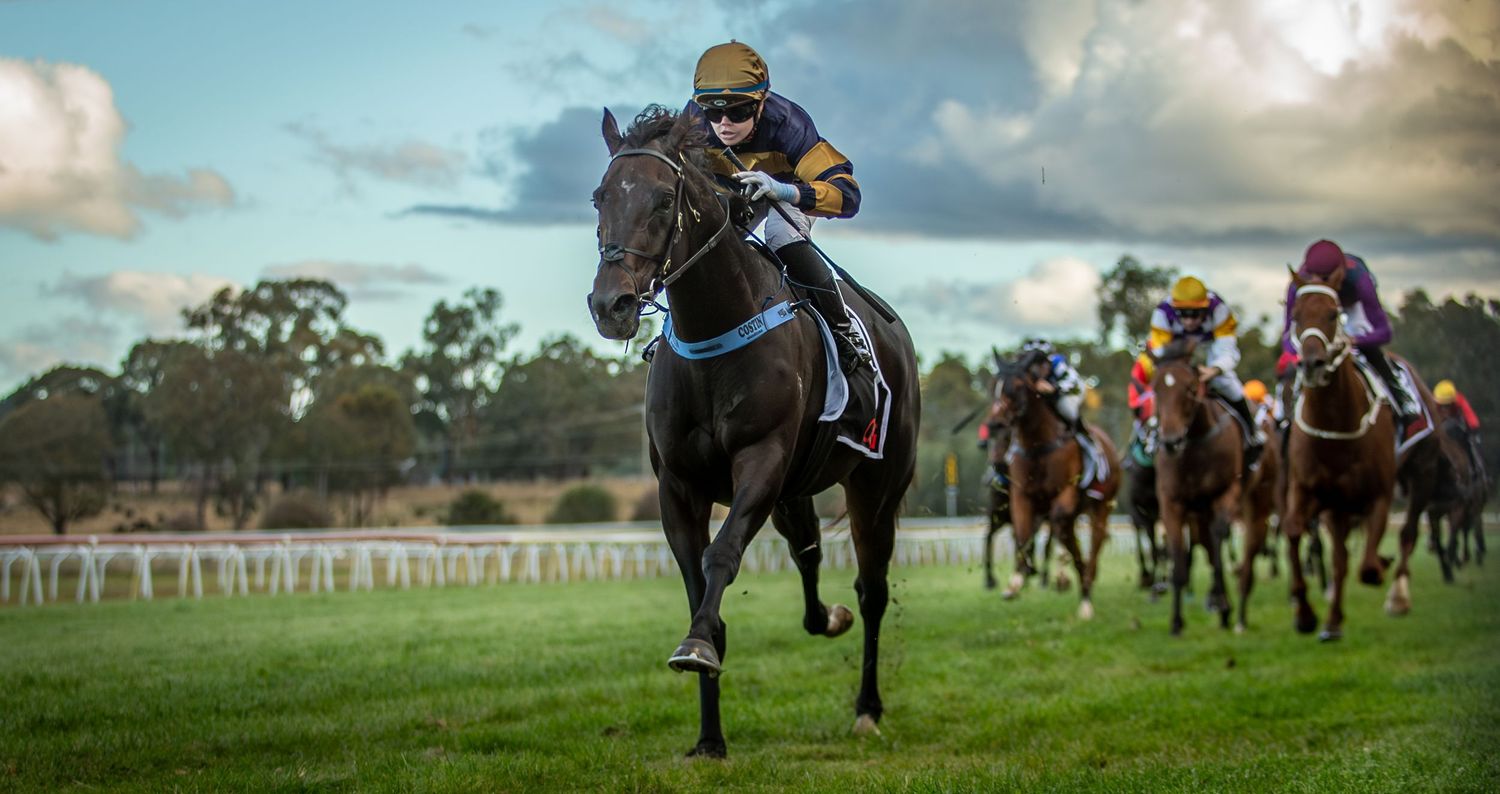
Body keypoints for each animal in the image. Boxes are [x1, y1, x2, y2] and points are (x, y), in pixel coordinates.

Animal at [587, 106, 919, 757]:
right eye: (599, 197)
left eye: (664, 200)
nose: (610, 305)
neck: (714, 330)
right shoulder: (679, 485)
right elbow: (699, 587)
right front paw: (708, 737)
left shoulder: (761, 460)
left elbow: (722, 555)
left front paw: (695, 648)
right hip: (795, 488)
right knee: (808, 553)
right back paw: (827, 618)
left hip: (875, 484)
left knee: (872, 591)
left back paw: (867, 708)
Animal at [986, 352, 1120, 618]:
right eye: (995, 386)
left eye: (1018, 386)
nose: (995, 423)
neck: (1038, 446)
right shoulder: (1021, 496)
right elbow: (1023, 534)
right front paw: (1016, 581)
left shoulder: (1065, 493)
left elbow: (1060, 533)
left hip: (1101, 508)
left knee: (1093, 545)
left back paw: (1085, 593)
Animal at [1149, 339, 1280, 634]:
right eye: (1156, 388)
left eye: (1189, 387)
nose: (1171, 441)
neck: (1195, 444)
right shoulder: (1172, 502)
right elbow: (1179, 557)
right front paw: (1177, 621)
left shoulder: (1225, 493)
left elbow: (1220, 543)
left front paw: (1221, 604)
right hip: (1200, 511)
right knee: (1209, 546)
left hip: (1258, 500)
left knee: (1247, 553)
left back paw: (1238, 612)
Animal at [1283, 267, 1446, 640]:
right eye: (1296, 316)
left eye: (1333, 314)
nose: (1312, 364)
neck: (1335, 430)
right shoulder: (1309, 491)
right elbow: (1296, 532)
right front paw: (1306, 614)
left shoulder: (1379, 495)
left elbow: (1368, 567)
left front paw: (1382, 569)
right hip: (1337, 505)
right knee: (1341, 557)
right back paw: (1332, 621)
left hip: (1423, 471)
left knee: (1407, 533)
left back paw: (1397, 595)